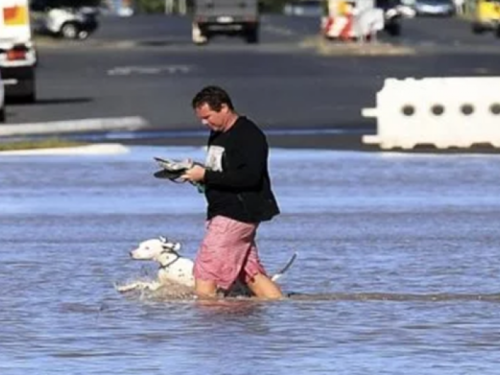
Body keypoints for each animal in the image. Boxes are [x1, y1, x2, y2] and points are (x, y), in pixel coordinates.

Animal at [117, 238, 296, 296]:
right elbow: (141, 283)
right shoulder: (160, 283)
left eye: (147, 247)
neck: (170, 265)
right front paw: (125, 288)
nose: (130, 253)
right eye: (140, 245)